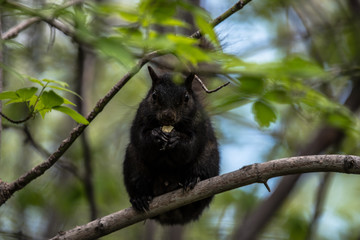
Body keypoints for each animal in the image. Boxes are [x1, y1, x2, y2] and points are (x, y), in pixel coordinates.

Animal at [123, 66, 219, 225]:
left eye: (186, 97)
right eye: (154, 96)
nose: (168, 116)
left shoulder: (198, 122)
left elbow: (191, 146)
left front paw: (176, 139)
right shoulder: (141, 116)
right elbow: (140, 138)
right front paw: (156, 135)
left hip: (208, 158)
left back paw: (192, 180)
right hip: (133, 163)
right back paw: (140, 199)